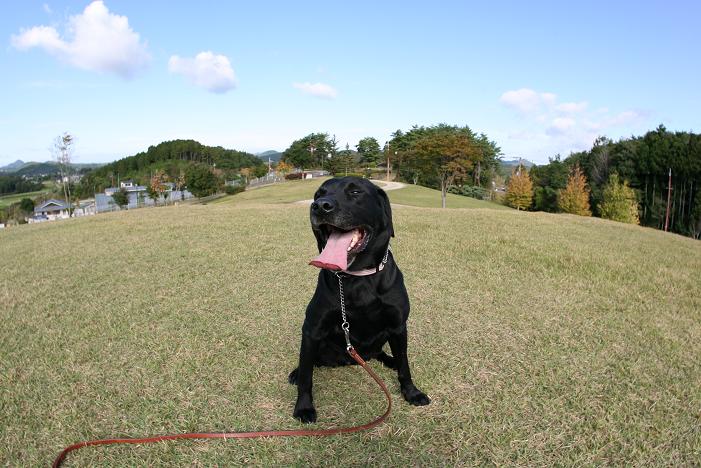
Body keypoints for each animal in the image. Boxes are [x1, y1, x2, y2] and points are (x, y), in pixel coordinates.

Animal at [288, 176, 430, 424]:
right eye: (318, 194)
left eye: (355, 192)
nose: (320, 206)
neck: (358, 277)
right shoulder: (312, 329)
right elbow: (307, 375)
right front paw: (304, 407)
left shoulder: (398, 326)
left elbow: (405, 365)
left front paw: (411, 392)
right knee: (310, 362)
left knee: (383, 354)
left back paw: (390, 361)